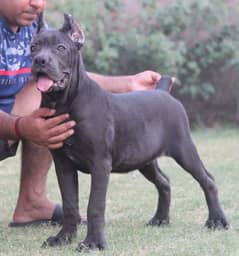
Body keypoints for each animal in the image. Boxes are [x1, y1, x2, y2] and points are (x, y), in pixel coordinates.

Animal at [30, 13, 229, 251]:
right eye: (33, 47)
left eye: (60, 47)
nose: (40, 61)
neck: (64, 102)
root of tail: (163, 92)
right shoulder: (63, 163)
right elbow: (70, 203)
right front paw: (63, 238)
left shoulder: (100, 163)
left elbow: (95, 205)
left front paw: (93, 242)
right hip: (144, 159)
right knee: (164, 182)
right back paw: (160, 219)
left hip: (184, 150)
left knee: (207, 180)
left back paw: (217, 220)